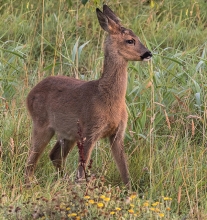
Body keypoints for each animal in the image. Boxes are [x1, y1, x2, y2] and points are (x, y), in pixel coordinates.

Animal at [25, 4, 152, 188]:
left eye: (137, 37)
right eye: (130, 40)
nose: (148, 53)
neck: (107, 98)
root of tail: (29, 94)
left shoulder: (117, 133)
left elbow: (124, 170)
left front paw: (130, 190)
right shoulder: (90, 130)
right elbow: (81, 170)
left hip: (68, 133)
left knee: (54, 156)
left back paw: (62, 181)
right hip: (41, 124)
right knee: (31, 161)